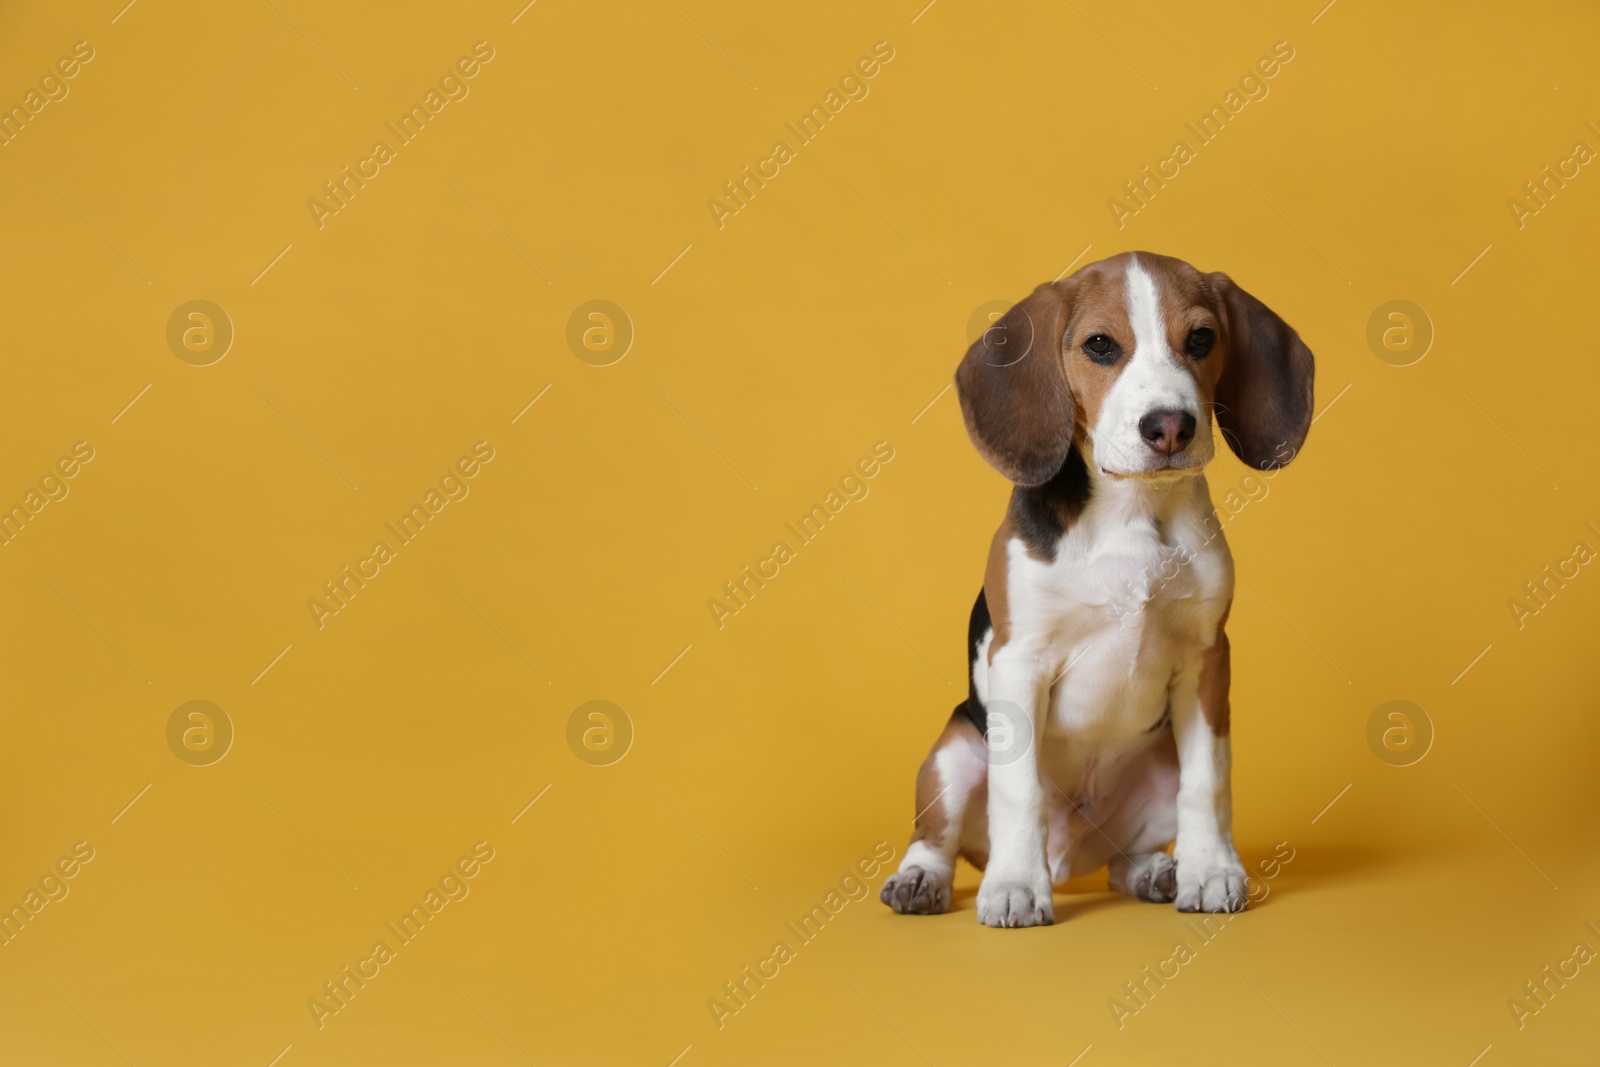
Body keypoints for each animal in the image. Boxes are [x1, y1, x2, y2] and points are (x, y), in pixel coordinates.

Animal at [889, 251, 1312, 927]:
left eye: (1201, 339)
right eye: (1100, 345)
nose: (1170, 427)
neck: (1131, 510)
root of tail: (1070, 858)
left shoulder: (1207, 662)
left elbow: (1209, 782)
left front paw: (1211, 870)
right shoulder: (1019, 660)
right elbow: (1020, 790)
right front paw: (1015, 883)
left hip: (1160, 761)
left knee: (1122, 858)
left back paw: (1155, 871)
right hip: (954, 751)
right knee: (936, 835)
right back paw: (922, 879)